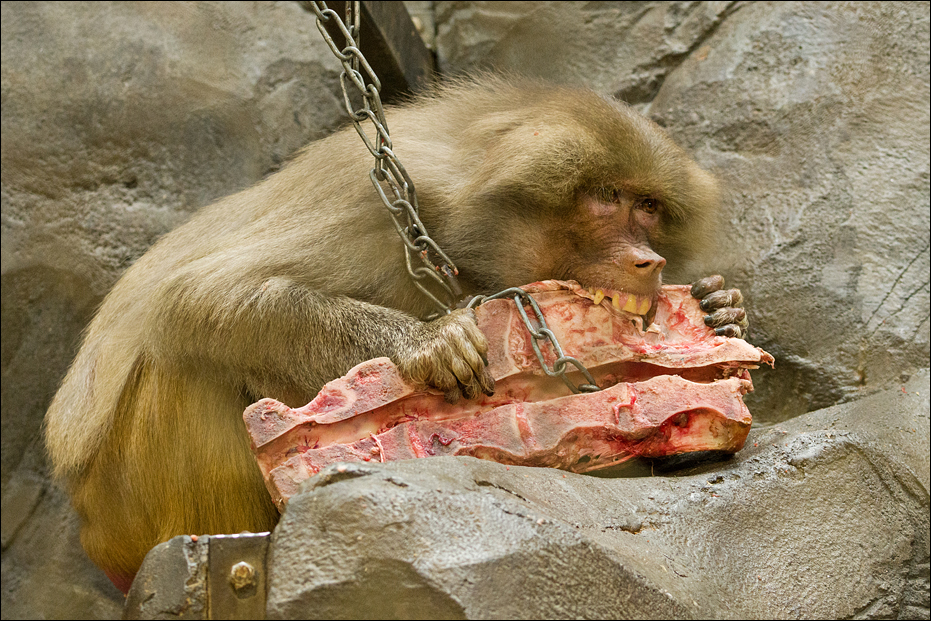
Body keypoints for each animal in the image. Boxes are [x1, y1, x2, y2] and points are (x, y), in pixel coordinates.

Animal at [43, 76, 747, 590]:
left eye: (649, 207)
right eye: (606, 196)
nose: (649, 260)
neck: (458, 227)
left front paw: (720, 311)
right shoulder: (367, 200)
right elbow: (198, 294)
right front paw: (426, 342)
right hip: (130, 501)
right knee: (184, 358)